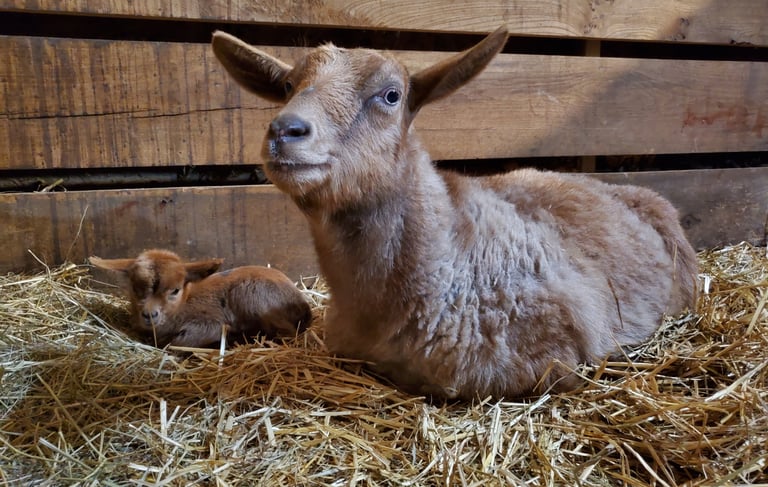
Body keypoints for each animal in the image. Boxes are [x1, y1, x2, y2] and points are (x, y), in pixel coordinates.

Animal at [90, 249, 312, 348]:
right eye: (136, 289)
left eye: (175, 290)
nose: (150, 315)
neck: (183, 305)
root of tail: (304, 306)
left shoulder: (210, 323)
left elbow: (176, 343)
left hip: (252, 295)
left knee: (286, 333)